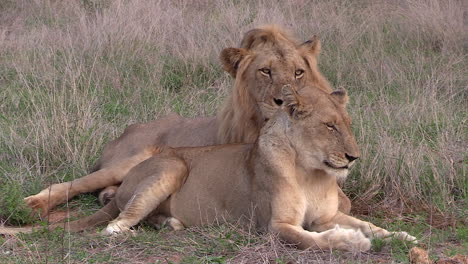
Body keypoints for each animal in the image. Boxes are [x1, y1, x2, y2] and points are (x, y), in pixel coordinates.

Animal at [0, 86, 416, 252]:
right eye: (329, 126)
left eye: (347, 124)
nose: (354, 157)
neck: (312, 172)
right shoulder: (274, 226)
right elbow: (314, 239)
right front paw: (352, 242)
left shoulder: (328, 214)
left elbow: (370, 225)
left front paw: (400, 237)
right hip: (169, 164)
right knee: (111, 223)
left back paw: (170, 223)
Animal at [22, 25, 352, 219]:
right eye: (265, 71)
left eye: (298, 72)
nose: (284, 100)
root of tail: (130, 128)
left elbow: (343, 201)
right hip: (131, 159)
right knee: (71, 183)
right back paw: (33, 205)